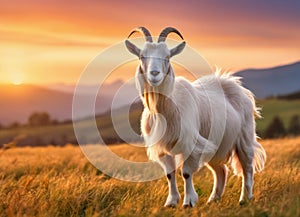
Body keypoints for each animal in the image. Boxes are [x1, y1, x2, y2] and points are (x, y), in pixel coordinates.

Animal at [125, 26, 266, 208]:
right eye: (142, 56)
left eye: (167, 56)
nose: (154, 74)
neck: (166, 108)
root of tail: (238, 88)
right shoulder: (163, 147)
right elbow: (170, 174)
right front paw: (171, 202)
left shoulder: (190, 143)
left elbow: (185, 173)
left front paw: (188, 202)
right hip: (216, 143)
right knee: (221, 170)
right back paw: (213, 199)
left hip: (244, 137)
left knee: (247, 167)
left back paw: (245, 199)